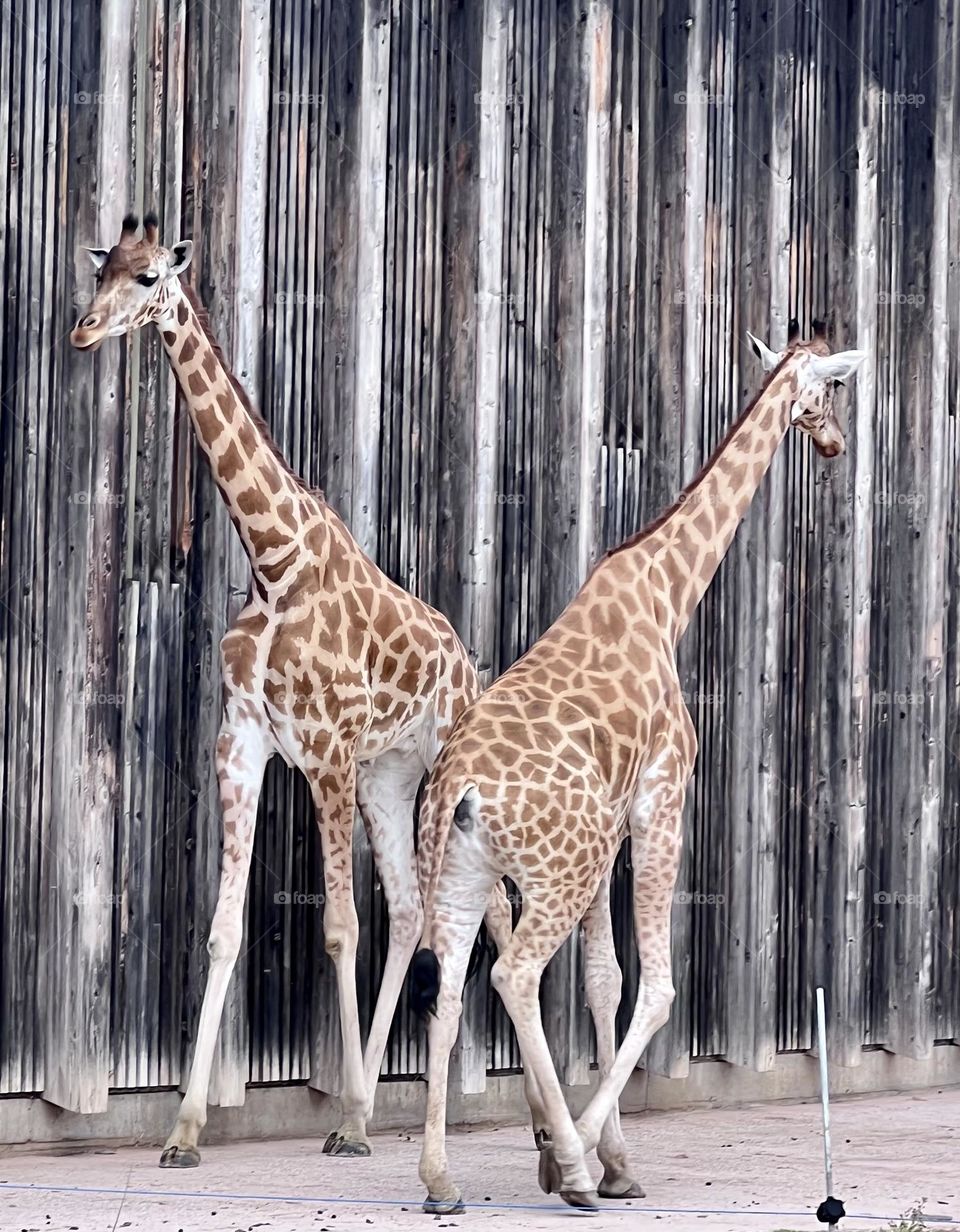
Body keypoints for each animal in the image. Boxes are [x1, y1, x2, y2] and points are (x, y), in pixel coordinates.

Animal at [69, 213, 486, 1166]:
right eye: (101, 269)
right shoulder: (245, 742)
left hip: (431, 776)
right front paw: (184, 1129)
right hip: (385, 778)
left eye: (149, 278)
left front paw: (357, 1118)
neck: (273, 558)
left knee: (446, 912)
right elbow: (223, 931)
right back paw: (365, 1103)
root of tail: (465, 661)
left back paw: (400, 1112)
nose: (83, 330)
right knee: (411, 908)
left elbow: (338, 926)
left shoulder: (324, 752)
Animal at [411, 323, 867, 1212]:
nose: (833, 442)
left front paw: (613, 1160)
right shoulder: (661, 802)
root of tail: (459, 788)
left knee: (448, 987)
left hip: (464, 874)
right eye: (831, 389)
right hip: (558, 870)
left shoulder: (616, 824)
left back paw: (442, 1180)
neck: (666, 594)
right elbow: (653, 989)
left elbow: (602, 981)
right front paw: (586, 1159)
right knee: (513, 975)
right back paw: (568, 1166)